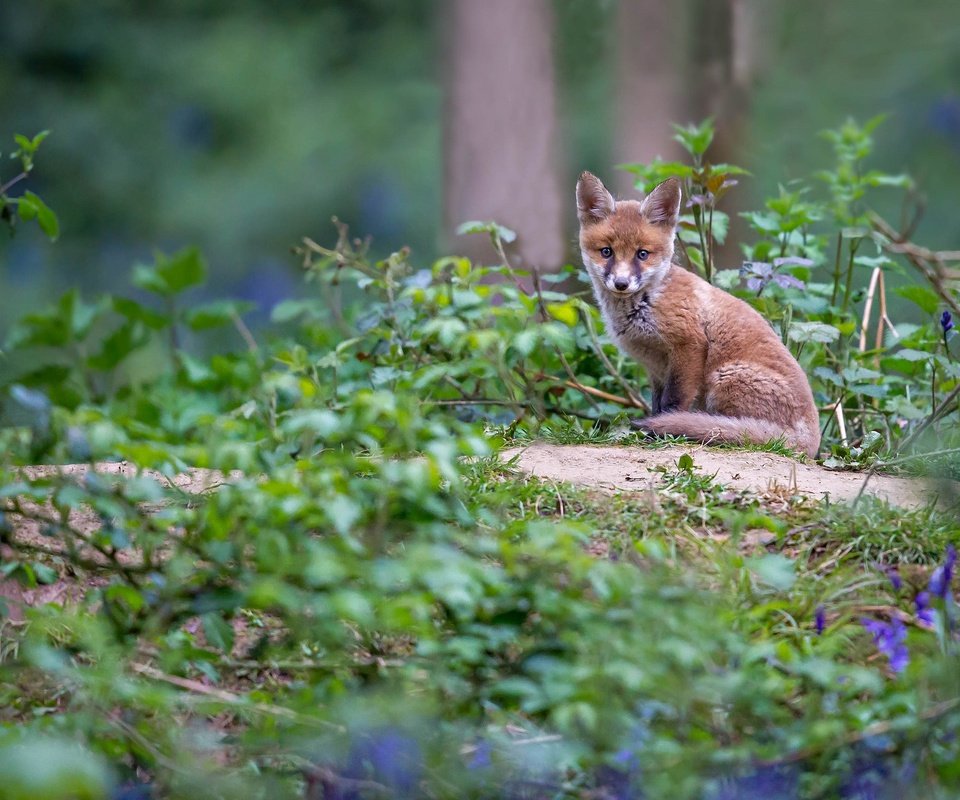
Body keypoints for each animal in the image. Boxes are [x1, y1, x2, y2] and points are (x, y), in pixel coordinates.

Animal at [572, 172, 820, 460]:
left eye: (642, 254)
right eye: (606, 252)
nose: (621, 284)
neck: (647, 303)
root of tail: (811, 441)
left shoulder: (688, 346)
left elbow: (672, 404)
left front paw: (659, 434)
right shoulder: (655, 368)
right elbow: (657, 404)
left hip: (722, 378)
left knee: (743, 432)